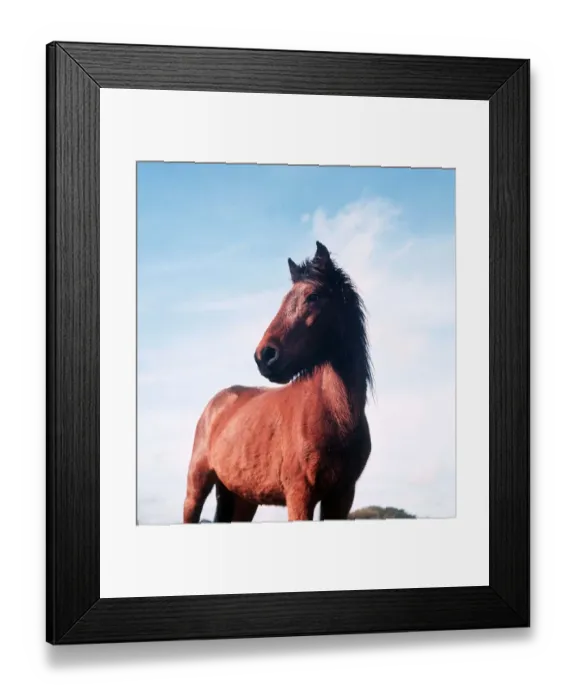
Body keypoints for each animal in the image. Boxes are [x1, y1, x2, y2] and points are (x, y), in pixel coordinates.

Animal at [183, 241, 373, 523]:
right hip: (196, 487)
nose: (264, 356)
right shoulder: (300, 494)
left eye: (313, 297)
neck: (335, 415)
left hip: (242, 499)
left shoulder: (341, 497)